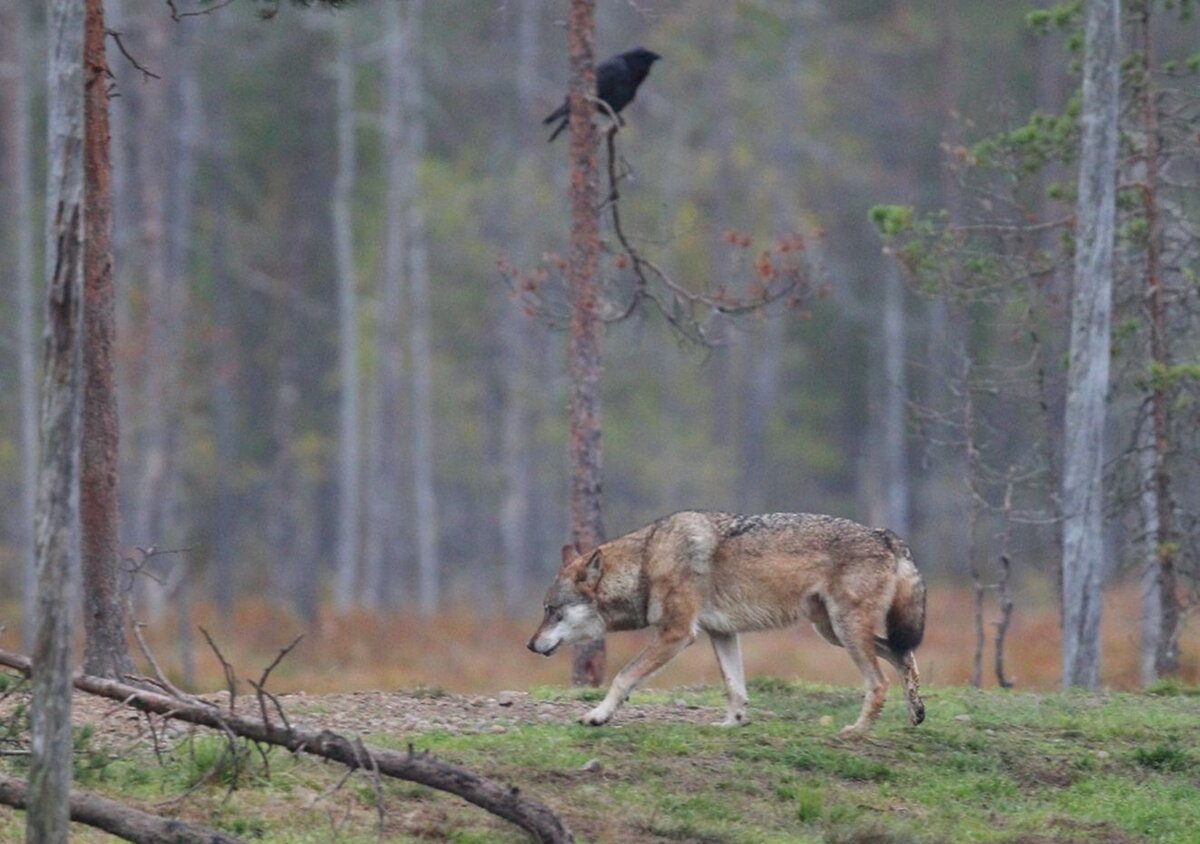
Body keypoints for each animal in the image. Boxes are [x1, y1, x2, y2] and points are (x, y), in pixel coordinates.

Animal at [525, 511, 926, 734]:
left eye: (551, 610)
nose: (530, 645)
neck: (646, 563)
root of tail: (887, 536)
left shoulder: (676, 634)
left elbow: (623, 677)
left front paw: (597, 715)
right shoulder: (722, 633)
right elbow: (736, 688)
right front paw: (732, 724)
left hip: (843, 631)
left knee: (879, 683)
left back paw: (857, 732)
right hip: (831, 631)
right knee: (903, 654)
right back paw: (916, 714)